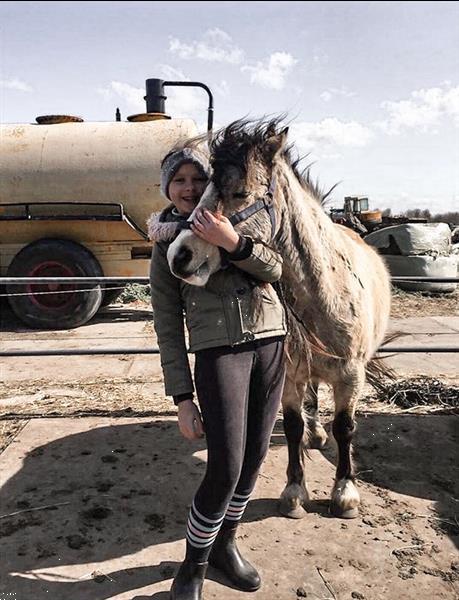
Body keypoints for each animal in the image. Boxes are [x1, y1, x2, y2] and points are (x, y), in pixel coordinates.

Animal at [165, 119, 392, 516]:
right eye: (201, 189)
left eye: (240, 192)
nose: (179, 256)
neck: (327, 289)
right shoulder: (289, 375)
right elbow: (293, 426)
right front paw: (295, 490)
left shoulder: (352, 376)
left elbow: (345, 427)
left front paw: (345, 492)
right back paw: (316, 433)